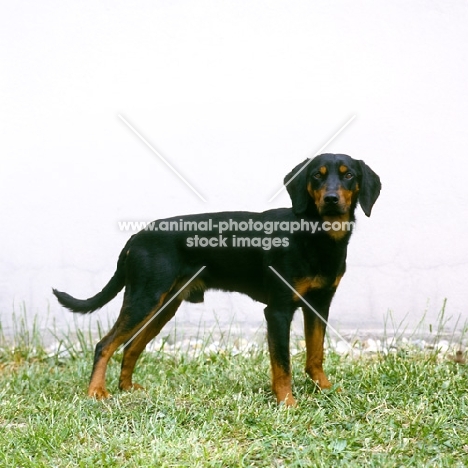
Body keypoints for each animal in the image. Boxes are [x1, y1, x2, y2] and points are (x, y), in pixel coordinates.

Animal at [53, 154, 380, 406]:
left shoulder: (319, 305)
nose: (331, 199)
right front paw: (287, 402)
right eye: (316, 176)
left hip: (163, 306)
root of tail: (137, 236)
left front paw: (325, 389)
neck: (313, 235)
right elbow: (282, 364)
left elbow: (316, 354)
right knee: (105, 344)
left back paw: (127, 388)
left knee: (131, 345)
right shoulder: (278, 311)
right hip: (144, 299)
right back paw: (97, 391)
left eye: (348, 175)